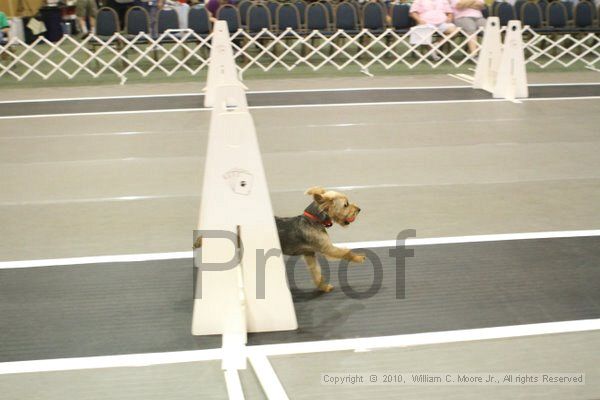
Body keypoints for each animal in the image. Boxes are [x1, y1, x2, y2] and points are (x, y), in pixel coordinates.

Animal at [192, 186, 364, 292]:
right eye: (346, 205)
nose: (359, 209)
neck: (314, 219)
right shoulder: (327, 248)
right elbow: (346, 252)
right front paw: (359, 258)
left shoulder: (309, 254)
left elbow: (316, 273)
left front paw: (323, 287)